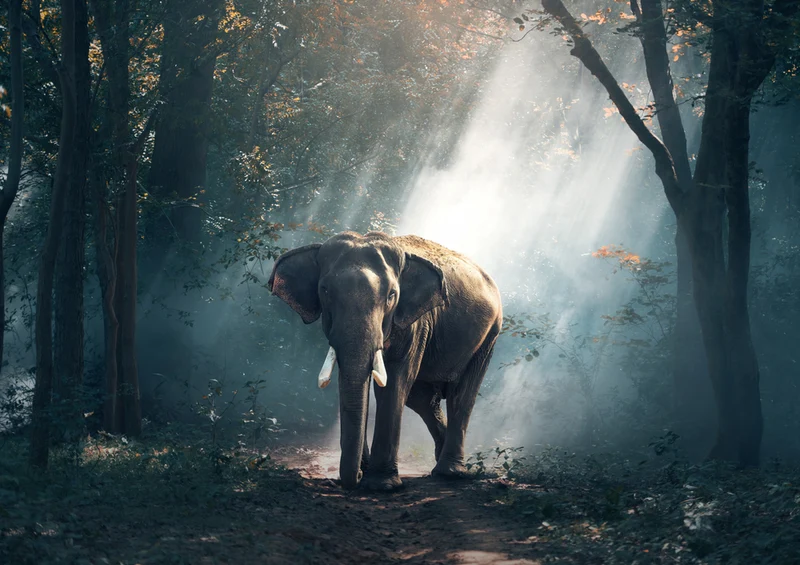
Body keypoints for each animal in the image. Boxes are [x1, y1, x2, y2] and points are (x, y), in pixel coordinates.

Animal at [268, 231, 502, 491]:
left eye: (392, 295)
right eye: (325, 291)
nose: (357, 476)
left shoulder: (415, 323)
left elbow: (394, 382)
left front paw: (382, 485)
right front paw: (367, 473)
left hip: (489, 335)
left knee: (461, 395)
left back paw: (450, 473)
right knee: (422, 399)